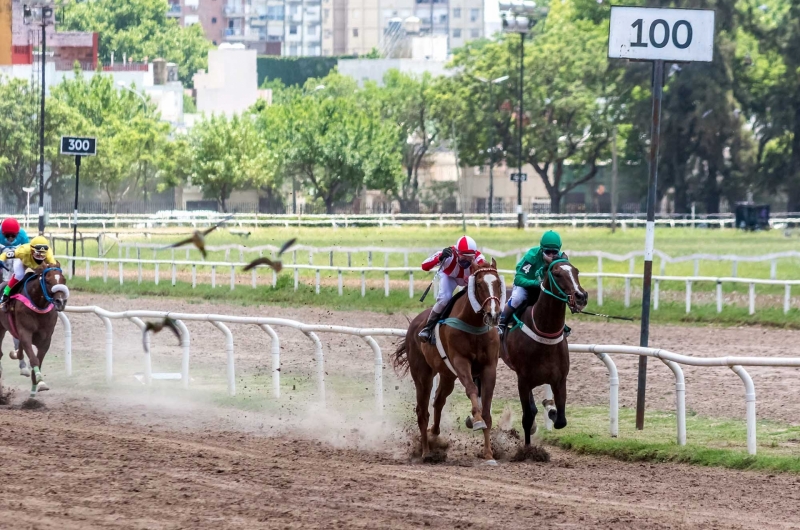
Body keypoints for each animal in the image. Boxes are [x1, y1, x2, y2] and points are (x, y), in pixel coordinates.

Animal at [0, 262, 69, 394]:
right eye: (47, 281)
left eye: (64, 280)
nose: (60, 301)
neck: (38, 305)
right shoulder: (25, 332)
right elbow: (33, 359)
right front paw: (39, 380)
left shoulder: (46, 338)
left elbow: (39, 359)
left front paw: (39, 383)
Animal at [390, 260, 504, 462]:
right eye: (479, 284)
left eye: (498, 283)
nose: (493, 314)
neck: (474, 325)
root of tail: (414, 325)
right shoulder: (460, 361)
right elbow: (472, 389)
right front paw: (477, 420)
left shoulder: (489, 367)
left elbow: (487, 409)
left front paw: (489, 454)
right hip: (423, 374)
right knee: (422, 410)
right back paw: (426, 451)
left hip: (447, 375)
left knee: (438, 401)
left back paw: (434, 435)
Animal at [506, 258, 588, 444]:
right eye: (557, 274)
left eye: (577, 271)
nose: (581, 296)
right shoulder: (523, 380)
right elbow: (527, 418)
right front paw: (527, 448)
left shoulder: (560, 380)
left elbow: (561, 421)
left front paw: (550, 408)